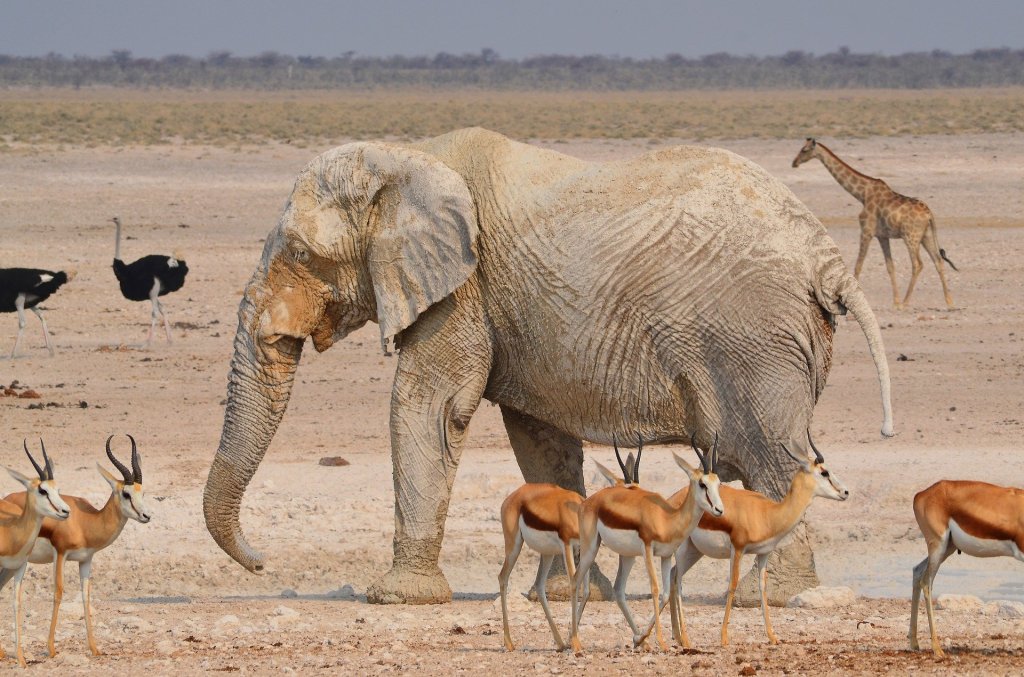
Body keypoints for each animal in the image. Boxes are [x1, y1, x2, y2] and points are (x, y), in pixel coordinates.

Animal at [203, 129, 892, 606]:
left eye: (300, 254)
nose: (261, 562)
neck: (408, 156)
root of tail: (827, 259)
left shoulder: (464, 288)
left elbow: (430, 408)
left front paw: (397, 598)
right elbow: (537, 437)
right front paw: (565, 594)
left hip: (753, 339)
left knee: (771, 455)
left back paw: (769, 597)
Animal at [790, 138, 958, 311]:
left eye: (804, 150)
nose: (794, 163)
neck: (862, 194)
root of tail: (929, 214)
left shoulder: (866, 231)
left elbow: (858, 264)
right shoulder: (882, 236)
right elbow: (890, 266)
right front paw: (895, 302)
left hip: (911, 237)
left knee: (918, 264)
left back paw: (906, 302)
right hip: (926, 235)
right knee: (938, 261)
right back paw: (949, 302)